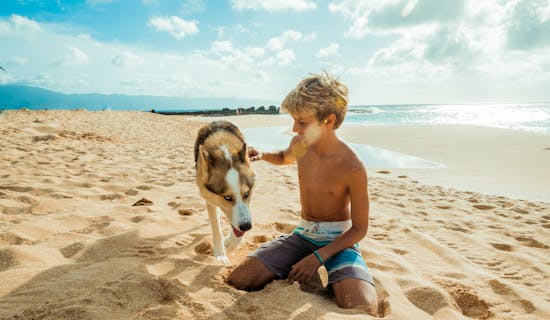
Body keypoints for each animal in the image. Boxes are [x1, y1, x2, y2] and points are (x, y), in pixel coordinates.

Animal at [195, 120, 256, 262]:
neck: (224, 150)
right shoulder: (209, 199)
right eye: (227, 197)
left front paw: (232, 245)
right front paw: (220, 254)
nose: (247, 226)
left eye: (246, 194)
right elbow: (216, 228)